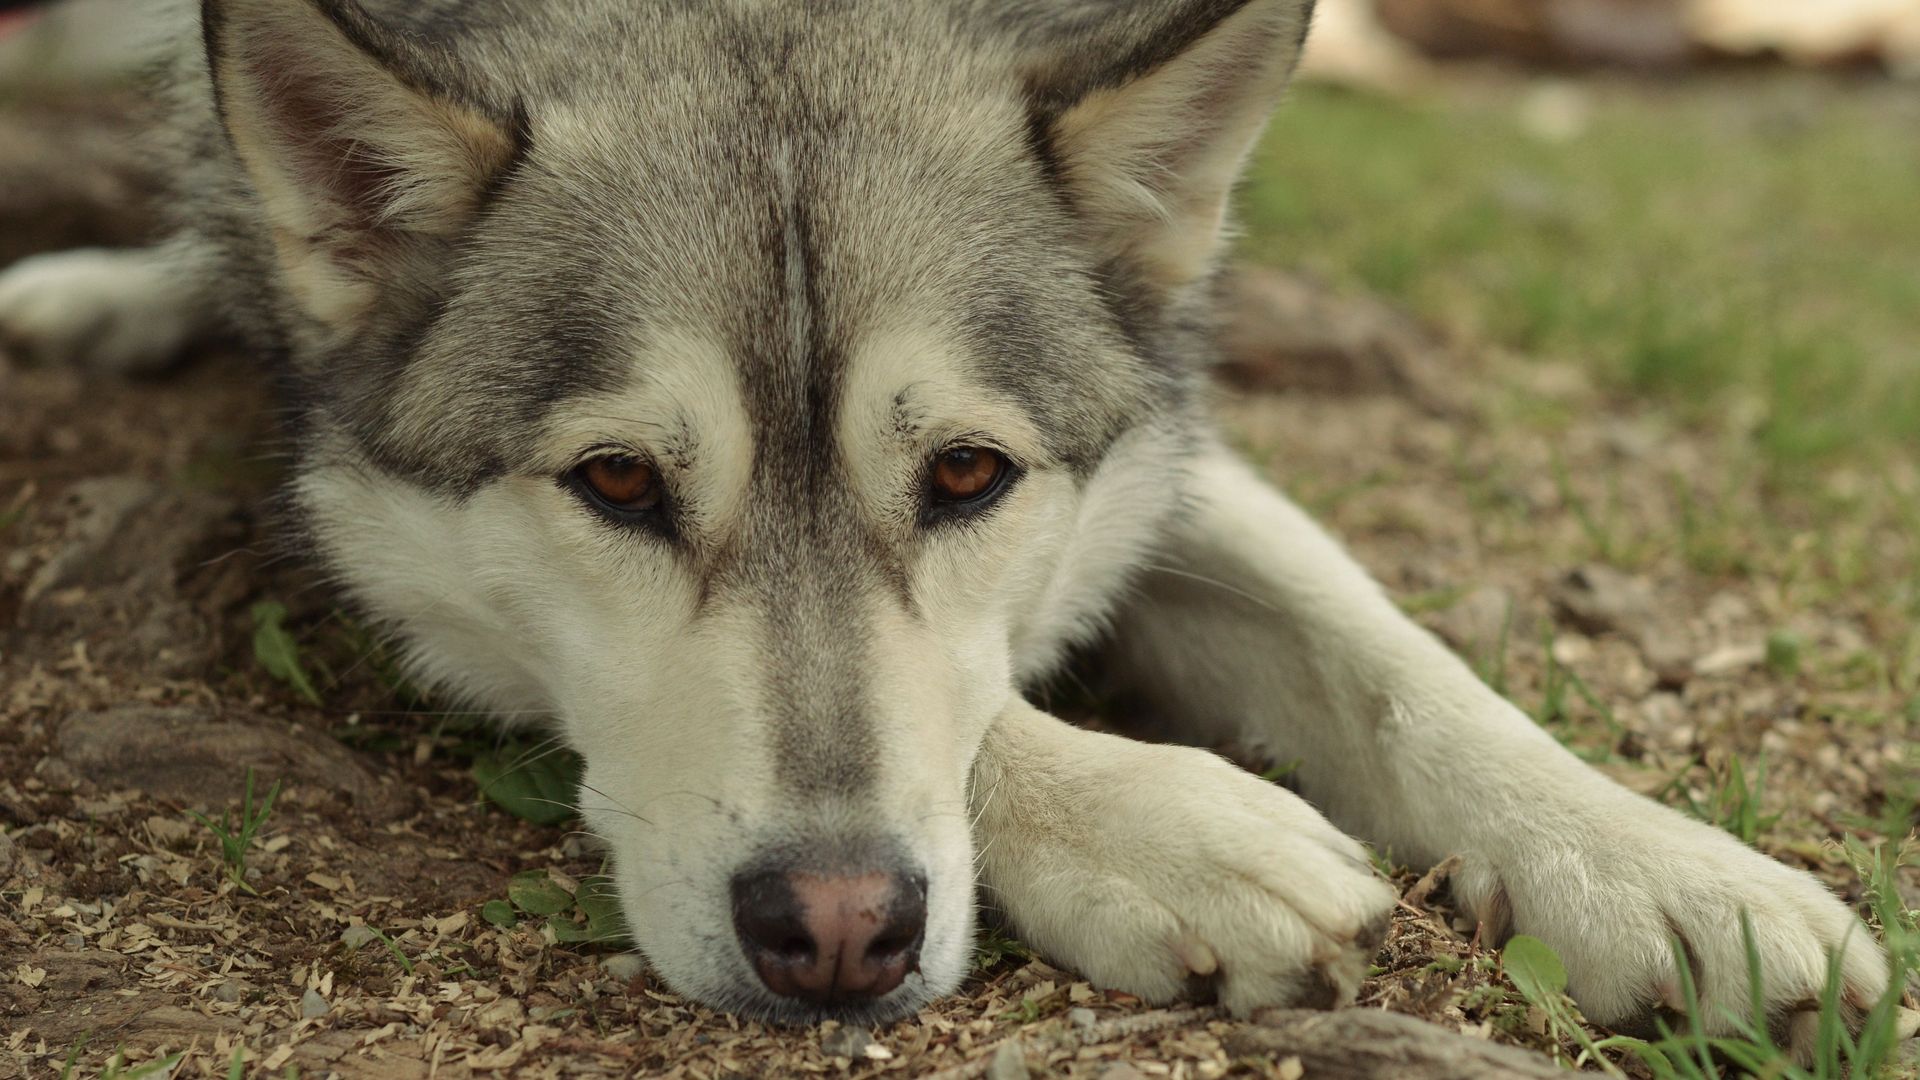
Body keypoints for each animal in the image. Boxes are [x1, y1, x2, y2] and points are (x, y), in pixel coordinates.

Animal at [0, 0, 1889, 1037]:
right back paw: (106, 296)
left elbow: (1391, 661)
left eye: (968, 476)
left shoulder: (1150, 440)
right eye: (620, 484)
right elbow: (988, 718)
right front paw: (1179, 825)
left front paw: (1654, 866)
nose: (834, 937)